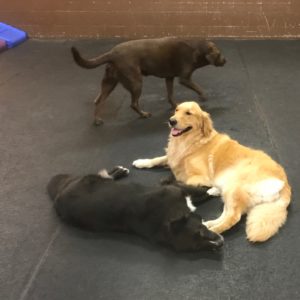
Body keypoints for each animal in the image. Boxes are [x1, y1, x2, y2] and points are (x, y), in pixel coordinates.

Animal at [48, 166, 224, 251]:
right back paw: (119, 170)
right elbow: (202, 192)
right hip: (93, 179)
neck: (166, 218)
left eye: (201, 230)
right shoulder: (176, 190)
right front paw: (215, 189)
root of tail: (59, 194)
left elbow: (199, 192)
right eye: (198, 245)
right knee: (105, 175)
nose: (220, 243)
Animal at [71, 37, 225, 124]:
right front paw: (203, 96)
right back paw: (144, 114)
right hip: (136, 82)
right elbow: (198, 87)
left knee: (98, 101)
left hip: (109, 83)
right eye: (219, 54)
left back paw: (97, 120)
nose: (226, 60)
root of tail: (112, 53)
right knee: (133, 103)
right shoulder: (184, 79)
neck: (197, 49)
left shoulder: (169, 78)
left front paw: (176, 106)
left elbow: (170, 95)